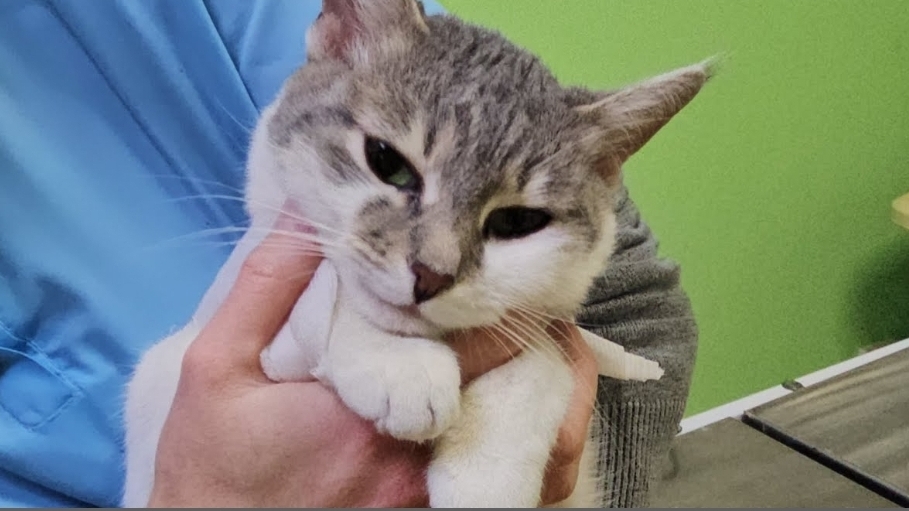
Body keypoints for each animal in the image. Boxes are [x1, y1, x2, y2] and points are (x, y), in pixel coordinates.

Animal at [121, 0, 713, 507]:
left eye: (516, 222)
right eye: (387, 161)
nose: (431, 274)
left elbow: (541, 355)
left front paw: (486, 474)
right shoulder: (174, 365)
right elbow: (317, 296)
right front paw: (396, 360)